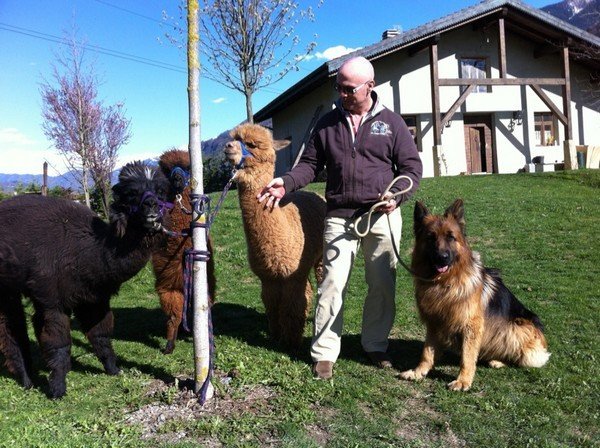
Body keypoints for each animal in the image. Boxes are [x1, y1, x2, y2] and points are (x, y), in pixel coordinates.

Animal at [400, 201, 552, 390]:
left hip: (516, 327)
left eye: (451, 237)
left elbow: (467, 357)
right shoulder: (434, 322)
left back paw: (499, 361)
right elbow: (427, 352)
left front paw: (463, 381)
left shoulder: (471, 326)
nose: (442, 257)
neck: (444, 283)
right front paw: (418, 372)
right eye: (431, 237)